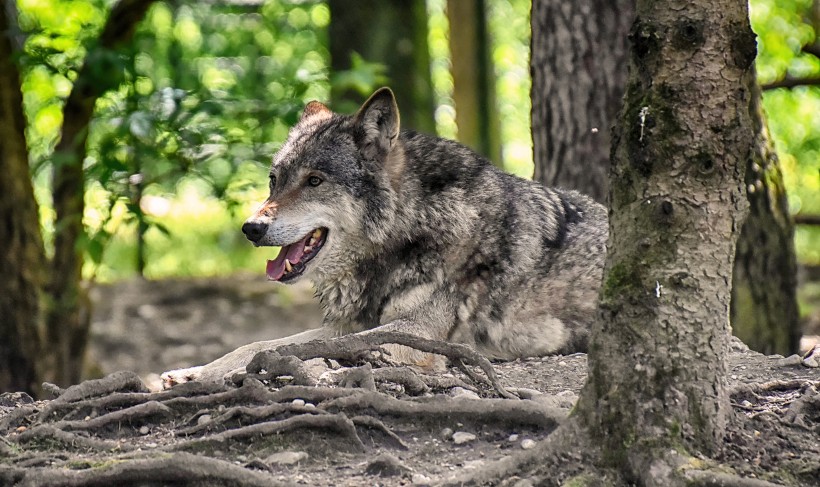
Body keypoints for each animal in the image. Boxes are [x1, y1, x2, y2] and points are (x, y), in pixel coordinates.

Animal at [162, 87, 608, 388]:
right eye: (275, 180)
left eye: (314, 181)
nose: (251, 228)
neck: (409, 231)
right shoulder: (350, 322)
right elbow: (258, 344)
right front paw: (193, 373)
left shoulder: (416, 335)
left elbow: (318, 349)